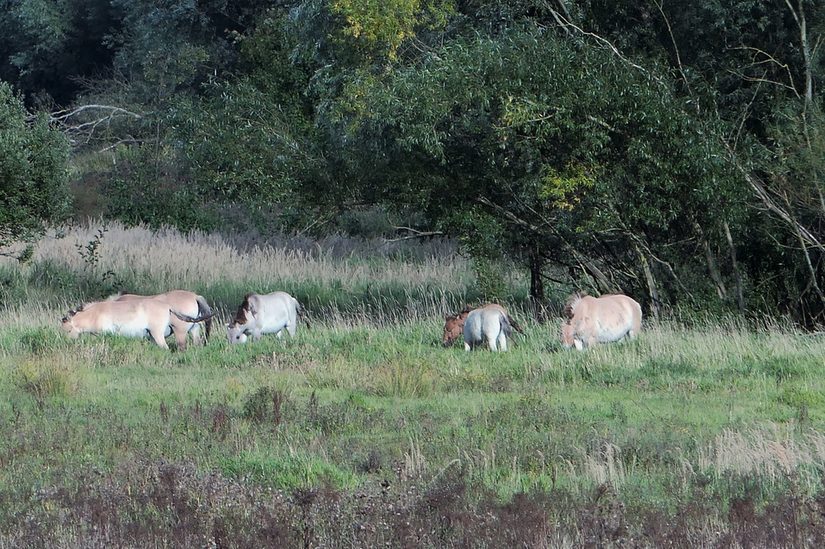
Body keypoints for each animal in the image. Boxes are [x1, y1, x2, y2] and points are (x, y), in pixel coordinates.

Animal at [60, 299, 213, 350]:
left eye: (67, 330)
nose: (66, 343)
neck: (94, 314)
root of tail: (168, 306)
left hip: (158, 334)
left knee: (166, 348)